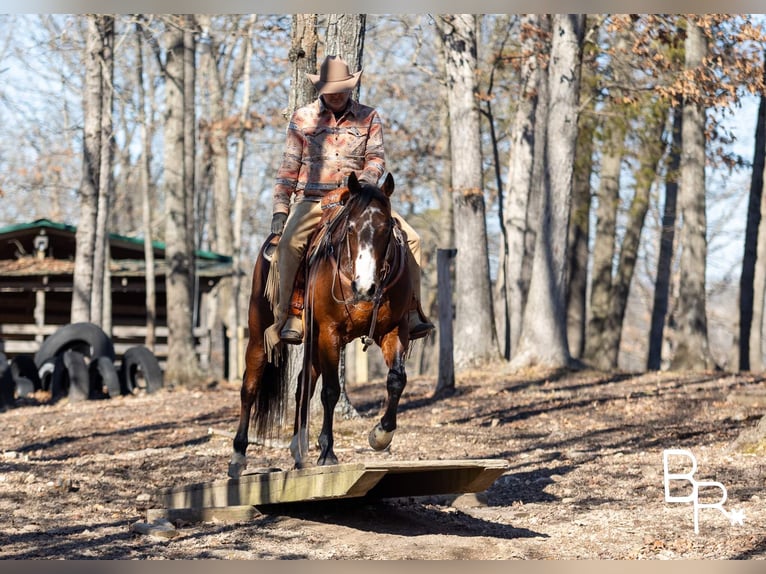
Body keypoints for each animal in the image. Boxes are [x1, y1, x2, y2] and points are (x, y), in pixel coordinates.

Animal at [230, 173, 414, 480]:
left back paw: (298, 452)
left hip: (313, 342)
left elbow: (397, 380)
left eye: (387, 226)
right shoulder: (330, 333)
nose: (366, 288)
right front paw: (327, 452)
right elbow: (330, 391)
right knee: (250, 387)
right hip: (258, 334)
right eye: (350, 228)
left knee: (301, 387)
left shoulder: (394, 331)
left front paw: (380, 435)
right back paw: (238, 456)